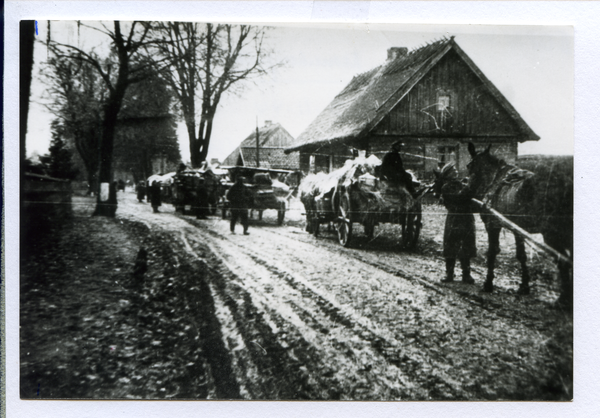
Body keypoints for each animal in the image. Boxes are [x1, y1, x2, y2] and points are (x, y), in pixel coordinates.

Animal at [466, 144, 576, 306]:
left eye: (469, 166)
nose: (466, 185)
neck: (494, 179)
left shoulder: (492, 225)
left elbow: (492, 252)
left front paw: (488, 283)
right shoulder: (517, 229)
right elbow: (521, 255)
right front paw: (524, 286)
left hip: (552, 233)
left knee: (563, 260)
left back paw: (563, 299)